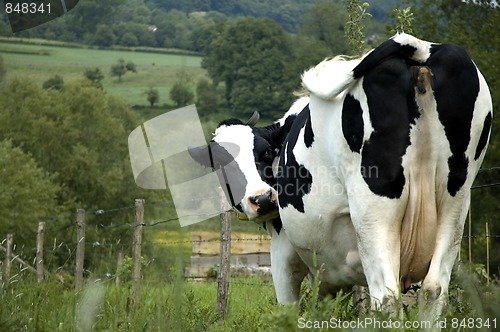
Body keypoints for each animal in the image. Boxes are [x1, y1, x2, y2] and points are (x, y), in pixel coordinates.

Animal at [190, 33, 492, 320]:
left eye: (265, 152)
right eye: (220, 166)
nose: (262, 199)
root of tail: (418, 49)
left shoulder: (284, 252)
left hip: (373, 212)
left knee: (387, 296)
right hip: (454, 204)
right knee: (433, 290)